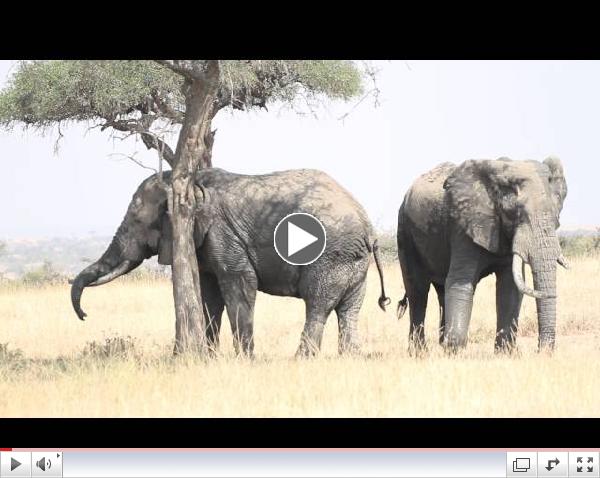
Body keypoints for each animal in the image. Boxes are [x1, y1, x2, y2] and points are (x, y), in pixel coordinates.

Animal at [70, 166, 392, 356]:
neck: (193, 184)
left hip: (331, 255)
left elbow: (239, 285)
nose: (84, 315)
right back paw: (349, 358)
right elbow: (210, 297)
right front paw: (210, 358)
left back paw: (301, 360)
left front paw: (244, 360)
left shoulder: (222, 233)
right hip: (352, 261)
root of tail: (367, 227)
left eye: (138, 221)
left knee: (317, 306)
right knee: (349, 311)